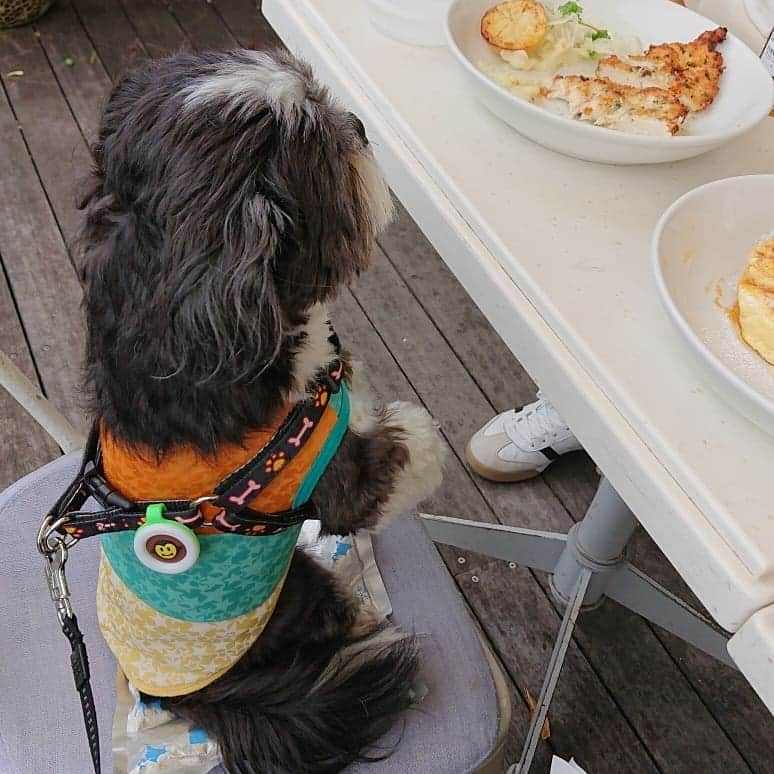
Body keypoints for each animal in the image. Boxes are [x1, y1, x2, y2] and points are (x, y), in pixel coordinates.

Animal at [78, 48, 446, 774]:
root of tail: (175, 697)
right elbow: (398, 453)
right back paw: (361, 620)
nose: (360, 124)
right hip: (293, 599)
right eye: (325, 152)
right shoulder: (327, 471)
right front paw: (416, 435)